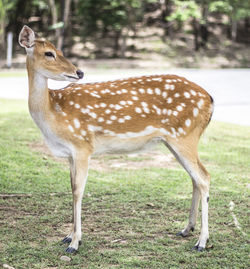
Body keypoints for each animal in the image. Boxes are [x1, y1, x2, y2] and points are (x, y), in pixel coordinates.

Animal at [19, 24, 214, 251]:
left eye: (58, 51)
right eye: (49, 53)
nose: (79, 72)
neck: (52, 111)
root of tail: (210, 99)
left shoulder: (83, 146)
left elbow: (78, 191)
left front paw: (75, 243)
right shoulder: (70, 154)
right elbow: (71, 188)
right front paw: (68, 236)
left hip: (185, 135)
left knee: (204, 177)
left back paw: (202, 241)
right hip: (174, 141)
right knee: (194, 178)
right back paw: (186, 229)